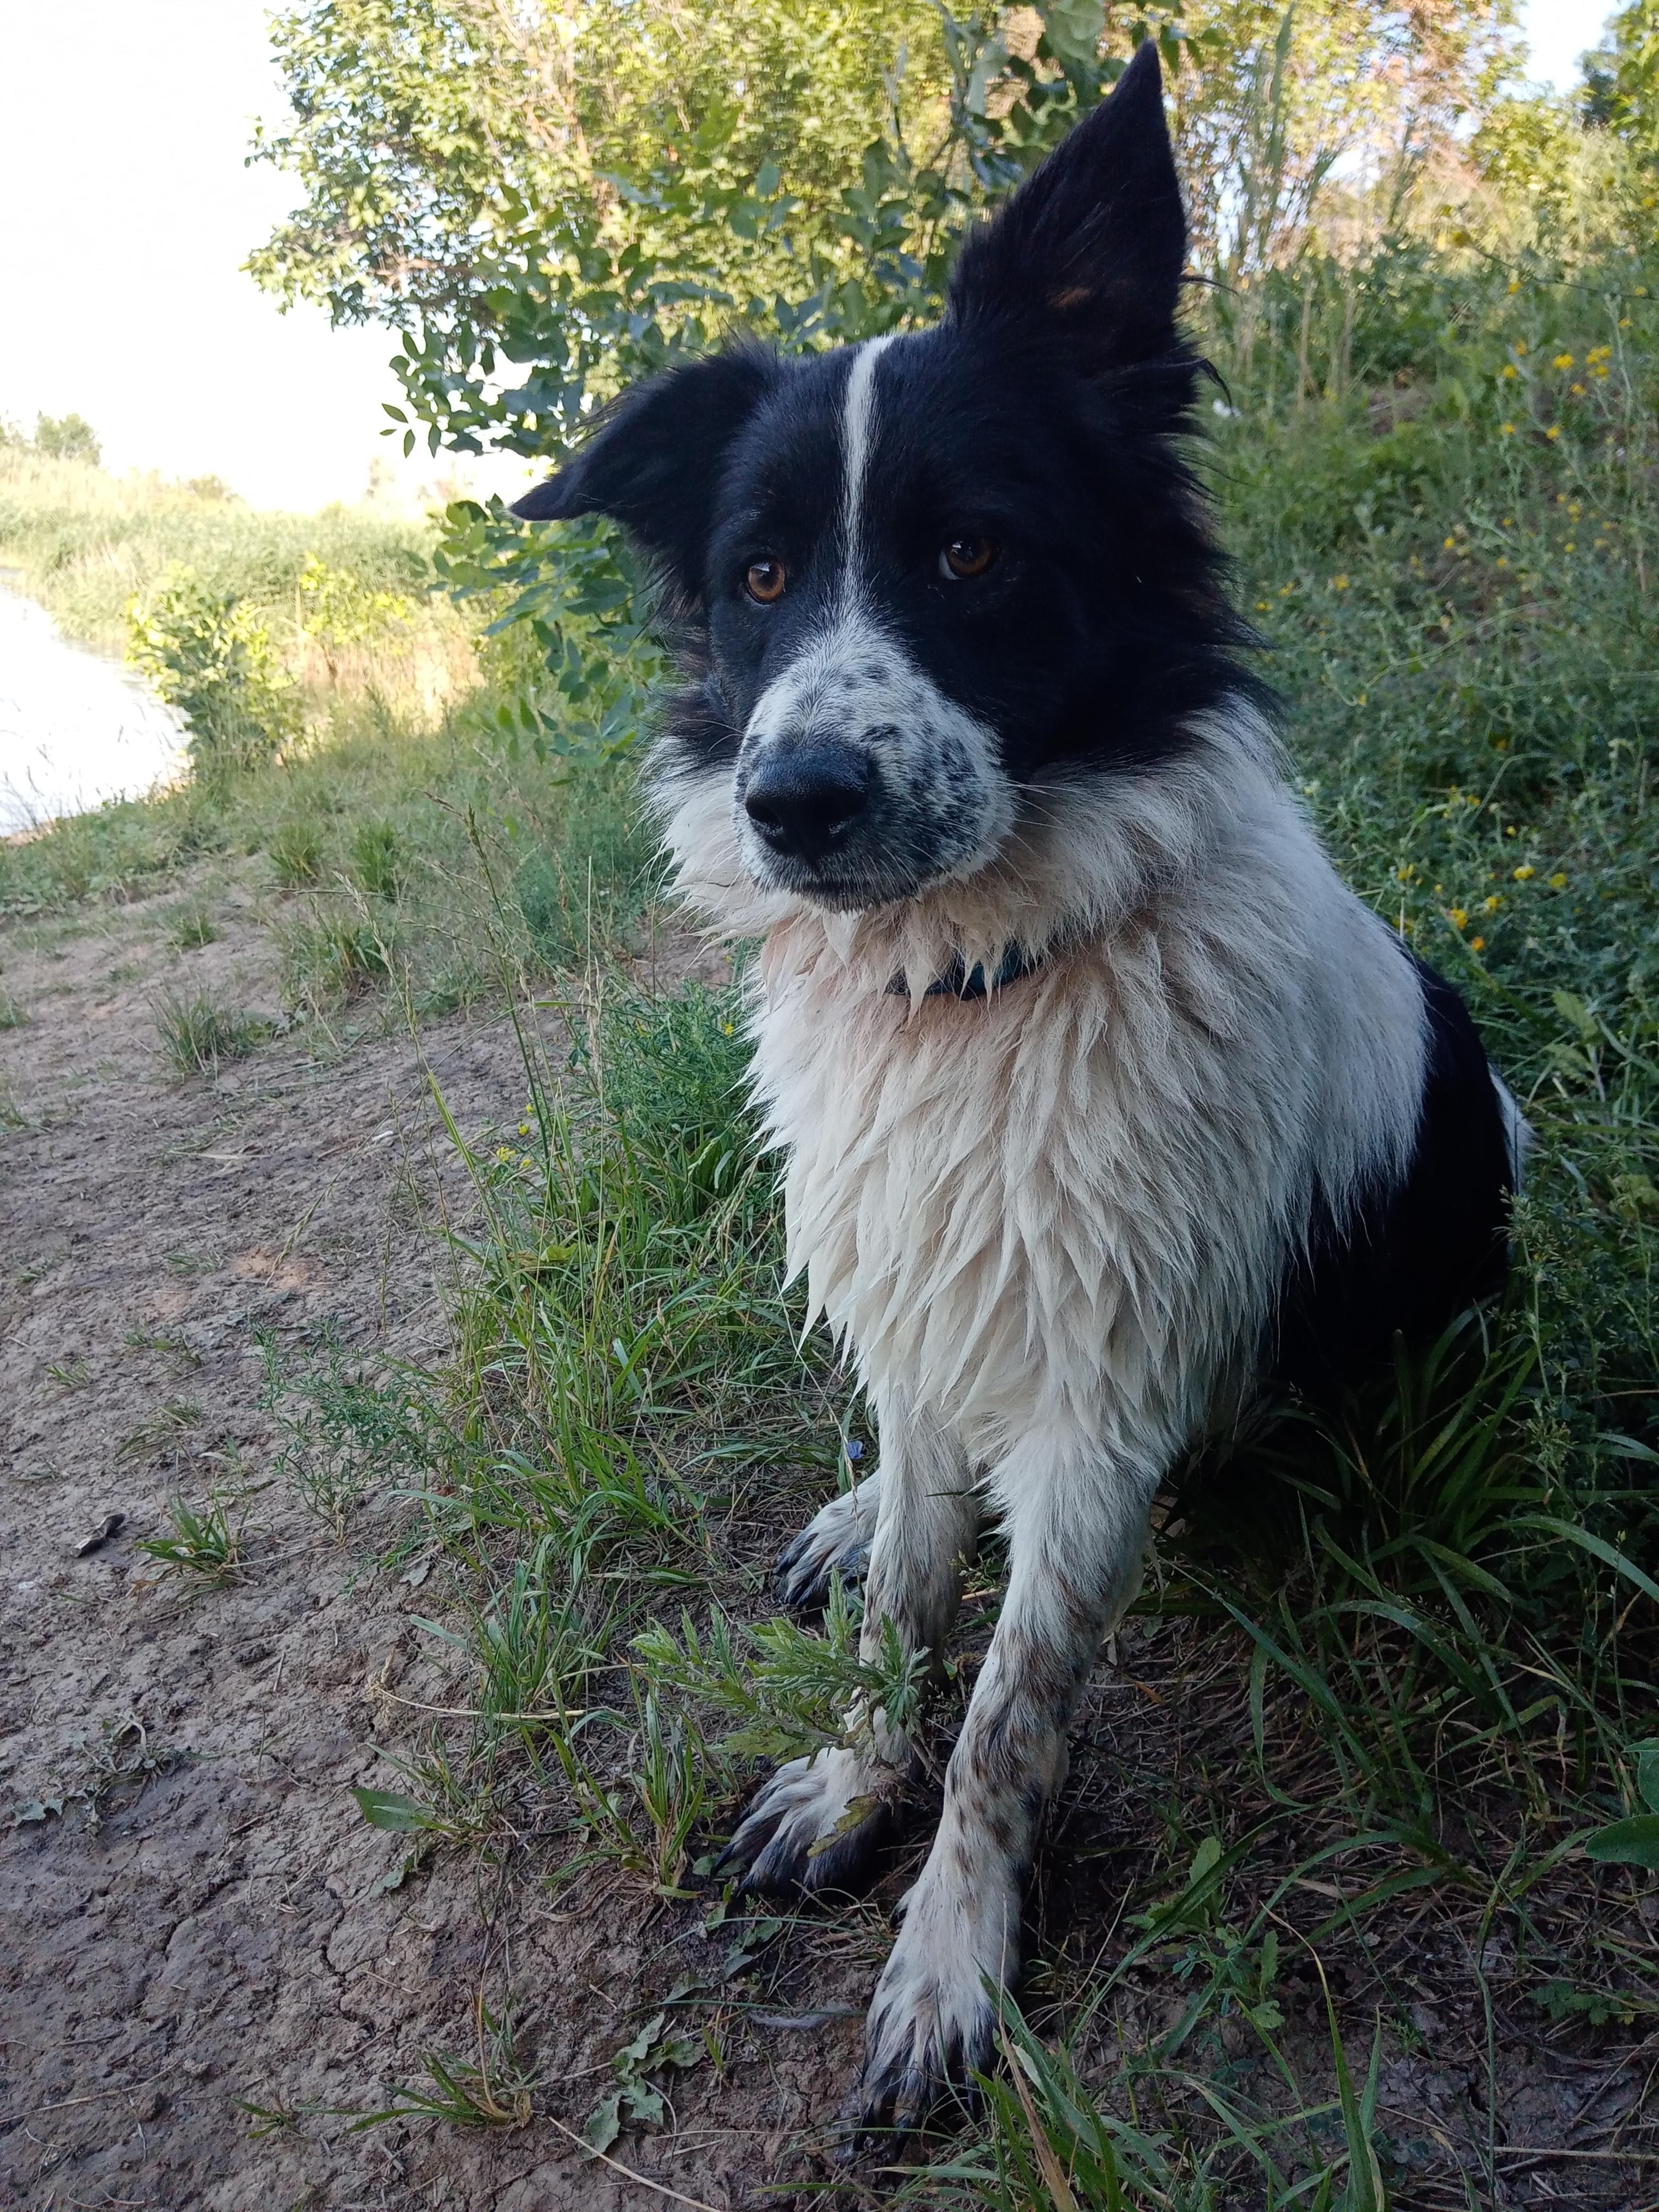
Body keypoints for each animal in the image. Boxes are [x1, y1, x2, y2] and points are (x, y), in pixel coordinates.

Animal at [517, 43, 1522, 2132]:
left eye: (971, 550)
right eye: (756, 575)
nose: (795, 801)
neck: (975, 991)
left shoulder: (1099, 1398)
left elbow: (1004, 1711)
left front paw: (946, 1965)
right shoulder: (918, 1299)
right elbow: (907, 1604)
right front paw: (850, 1781)